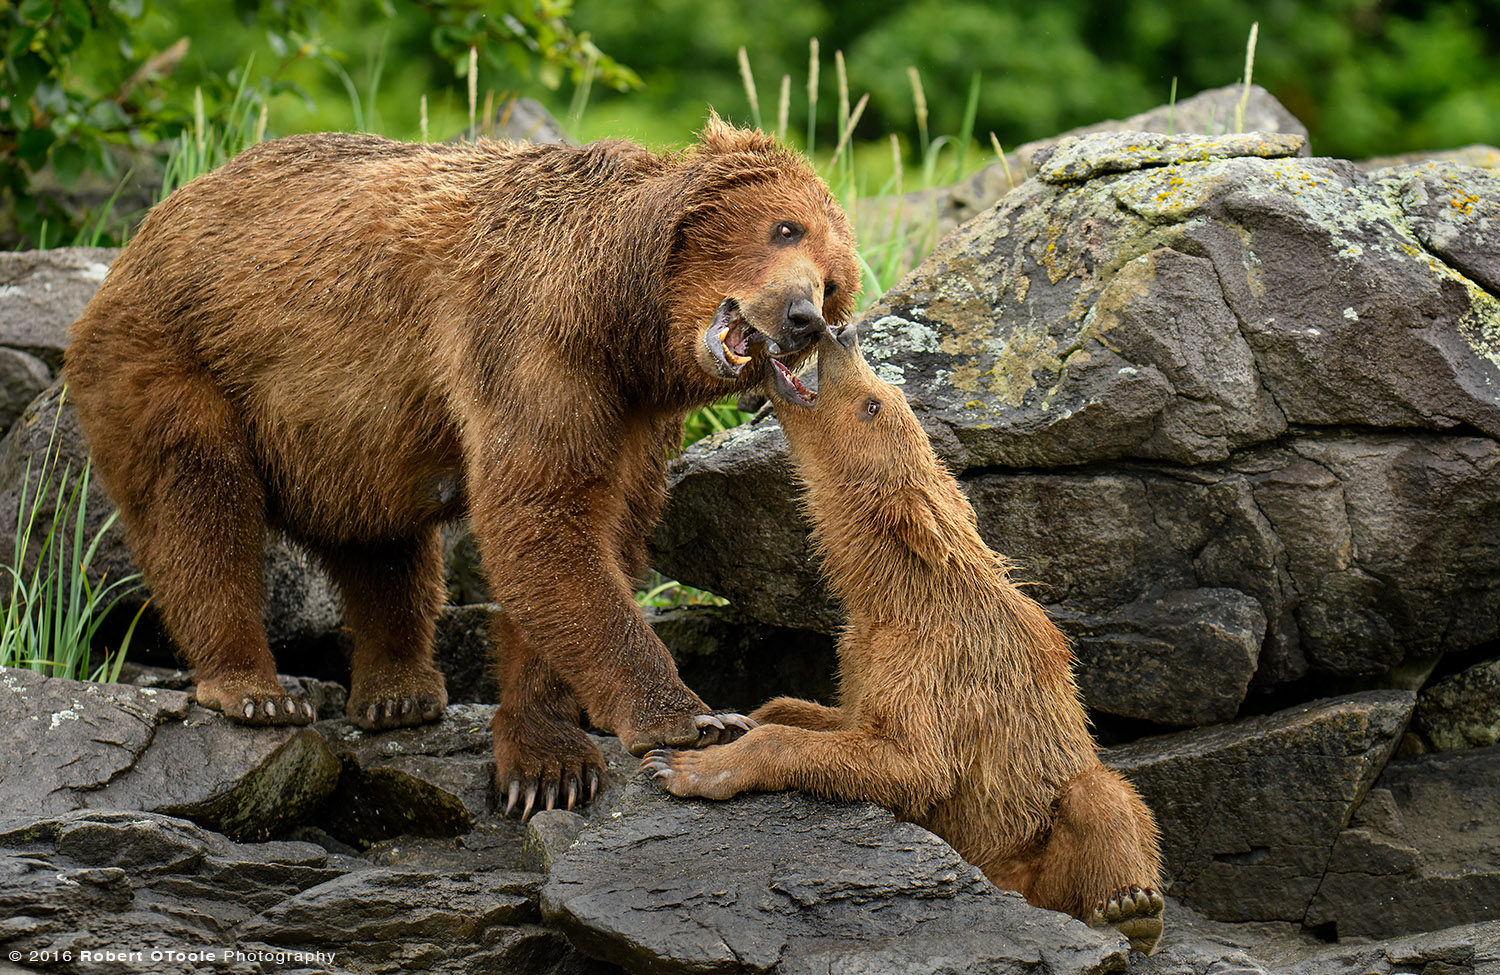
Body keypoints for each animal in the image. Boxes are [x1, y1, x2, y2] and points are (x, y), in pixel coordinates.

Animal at [64, 114, 864, 810]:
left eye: (831, 282)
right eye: (784, 228)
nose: (803, 319)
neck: (623, 319)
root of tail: (149, 226)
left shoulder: (630, 414)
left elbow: (594, 532)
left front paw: (547, 764)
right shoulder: (531, 342)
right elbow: (539, 519)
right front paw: (691, 716)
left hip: (347, 438)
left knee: (382, 550)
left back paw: (399, 689)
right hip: (180, 353)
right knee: (199, 503)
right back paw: (254, 689)